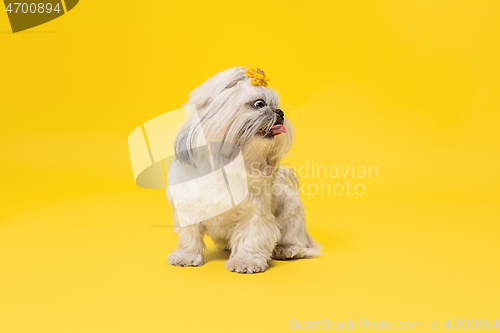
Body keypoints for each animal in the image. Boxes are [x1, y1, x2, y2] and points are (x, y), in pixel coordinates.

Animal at [165, 67, 320, 272]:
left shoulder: (255, 213)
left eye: (277, 106)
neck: (226, 166)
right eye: (259, 103)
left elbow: (251, 236)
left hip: (291, 214)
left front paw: (246, 262)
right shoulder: (189, 207)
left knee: (296, 240)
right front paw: (186, 256)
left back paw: (287, 250)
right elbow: (189, 236)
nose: (280, 112)